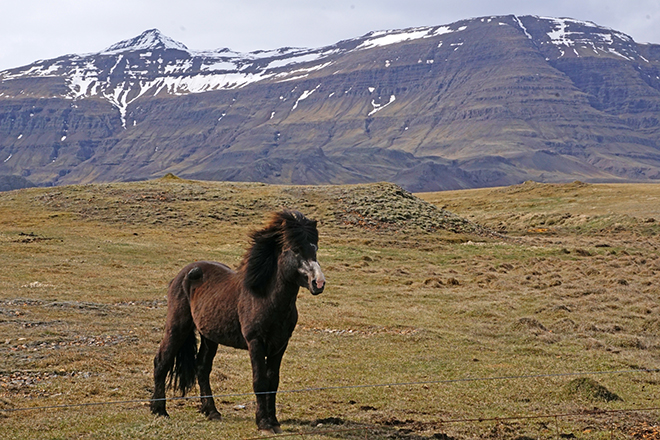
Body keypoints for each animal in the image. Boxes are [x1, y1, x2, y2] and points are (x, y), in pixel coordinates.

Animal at [150, 210, 326, 434]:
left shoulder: (280, 345)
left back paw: (212, 412)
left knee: (202, 369)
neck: (266, 298)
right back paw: (159, 410)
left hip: (209, 337)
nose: (318, 283)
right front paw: (264, 424)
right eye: (295, 249)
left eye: (315, 248)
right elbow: (260, 382)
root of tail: (184, 273)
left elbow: (273, 382)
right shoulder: (256, 343)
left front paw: (274, 421)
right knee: (162, 361)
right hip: (177, 326)